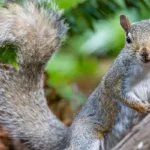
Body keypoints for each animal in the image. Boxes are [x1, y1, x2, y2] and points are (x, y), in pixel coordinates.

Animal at [0, 0, 150, 150]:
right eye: (128, 39)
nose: (145, 52)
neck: (145, 69)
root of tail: (69, 135)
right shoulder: (116, 76)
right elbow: (117, 92)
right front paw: (141, 106)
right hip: (86, 139)